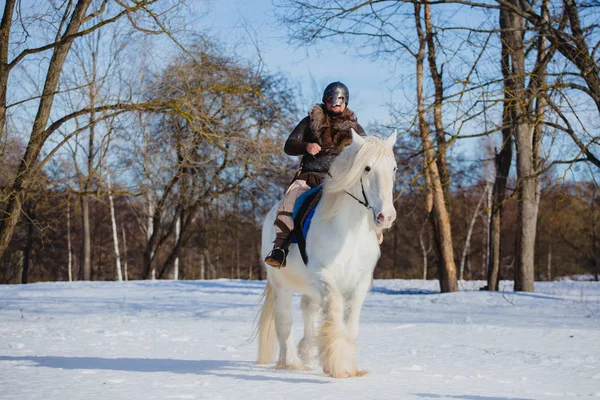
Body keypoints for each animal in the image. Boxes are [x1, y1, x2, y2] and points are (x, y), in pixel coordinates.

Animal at [255, 129, 396, 378]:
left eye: (394, 168)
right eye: (367, 168)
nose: (386, 217)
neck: (351, 232)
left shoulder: (361, 282)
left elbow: (351, 321)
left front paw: (349, 366)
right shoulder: (323, 275)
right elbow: (335, 309)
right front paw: (337, 364)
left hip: (309, 290)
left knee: (308, 310)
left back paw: (307, 351)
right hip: (281, 285)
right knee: (285, 321)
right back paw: (291, 363)